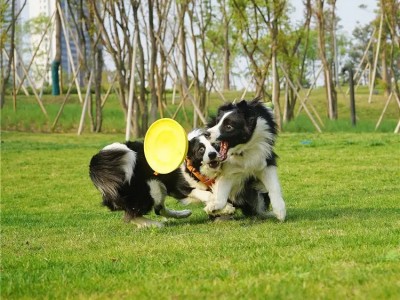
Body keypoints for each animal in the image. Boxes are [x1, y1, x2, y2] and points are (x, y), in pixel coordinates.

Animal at [87, 129, 231, 227]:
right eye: (201, 150)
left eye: (216, 146)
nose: (212, 155)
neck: (192, 165)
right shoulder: (180, 187)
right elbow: (206, 194)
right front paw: (222, 208)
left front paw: (221, 209)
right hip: (148, 189)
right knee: (133, 214)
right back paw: (154, 224)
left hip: (157, 187)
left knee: (158, 209)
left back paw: (182, 214)